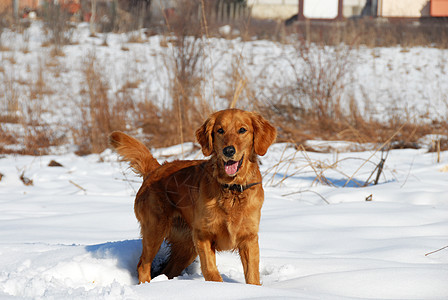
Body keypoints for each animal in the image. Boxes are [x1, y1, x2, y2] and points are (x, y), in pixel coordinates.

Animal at [109, 108, 276, 284]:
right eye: (220, 130)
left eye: (242, 130)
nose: (229, 151)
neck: (232, 189)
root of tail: (155, 169)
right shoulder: (203, 235)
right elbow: (211, 271)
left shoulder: (249, 238)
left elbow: (252, 276)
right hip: (154, 229)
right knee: (143, 265)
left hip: (186, 246)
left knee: (168, 270)